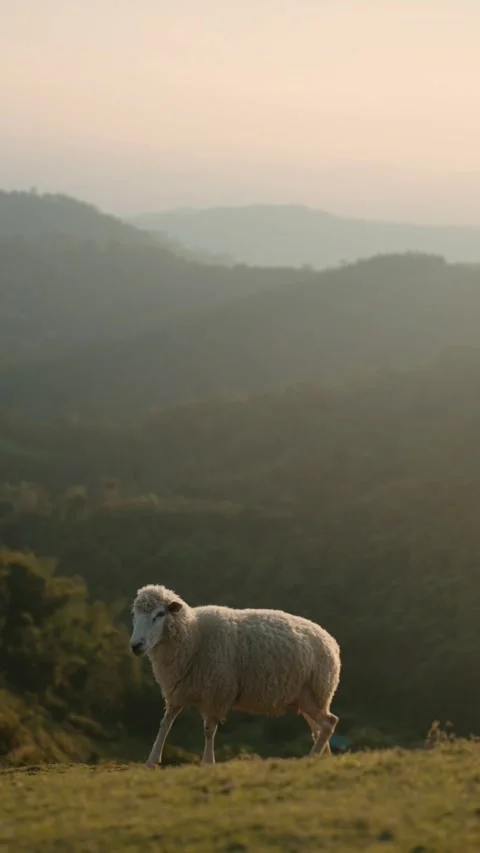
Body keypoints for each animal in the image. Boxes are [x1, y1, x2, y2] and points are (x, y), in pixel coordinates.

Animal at [130, 584, 341, 768]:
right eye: (135, 615)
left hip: (316, 694)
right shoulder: (178, 692)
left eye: (160, 614)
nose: (135, 646)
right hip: (305, 699)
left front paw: (208, 762)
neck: (193, 636)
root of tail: (331, 641)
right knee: (318, 729)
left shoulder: (216, 693)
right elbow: (165, 724)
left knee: (329, 723)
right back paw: (323, 757)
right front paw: (151, 761)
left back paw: (312, 756)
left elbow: (209, 730)